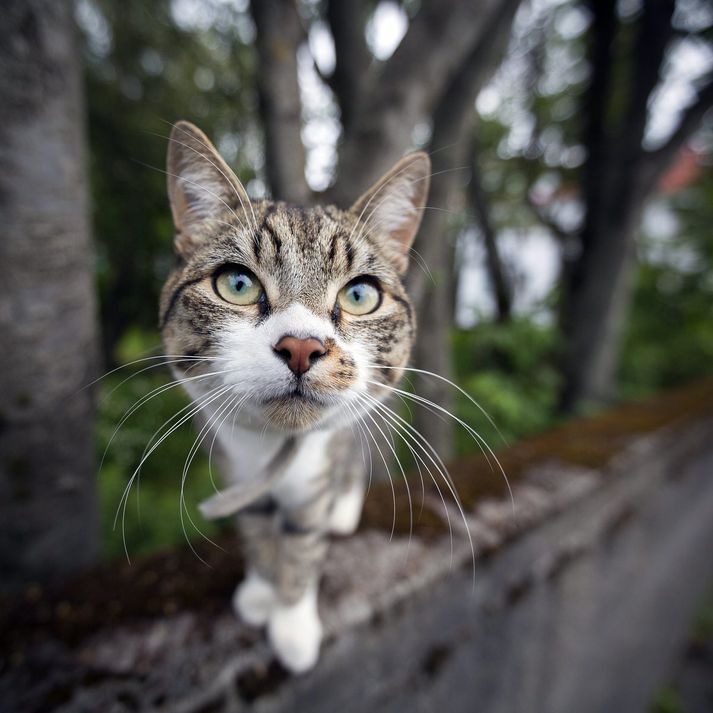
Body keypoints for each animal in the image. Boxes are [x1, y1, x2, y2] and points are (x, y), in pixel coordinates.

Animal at [161, 119, 428, 672]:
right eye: (237, 284)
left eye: (360, 294)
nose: (302, 346)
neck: (275, 447)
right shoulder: (235, 466)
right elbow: (257, 529)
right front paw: (262, 591)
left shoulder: (313, 480)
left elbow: (304, 544)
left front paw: (293, 625)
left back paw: (343, 509)